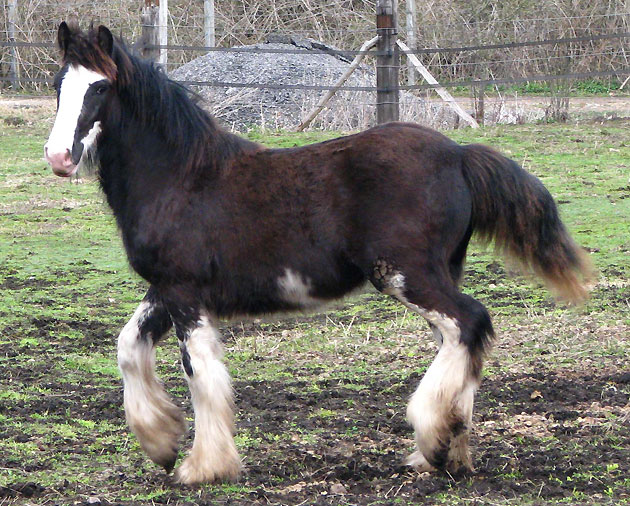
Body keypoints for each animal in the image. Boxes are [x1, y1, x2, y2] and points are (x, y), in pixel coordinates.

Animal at [47, 21, 596, 484]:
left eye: (99, 88)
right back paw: (446, 451)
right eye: (58, 85)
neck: (181, 177)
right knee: (458, 339)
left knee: (471, 322)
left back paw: (433, 438)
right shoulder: (165, 290)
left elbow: (200, 376)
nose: (58, 157)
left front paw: (202, 466)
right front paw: (161, 440)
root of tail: (459, 155)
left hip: (406, 274)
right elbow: (128, 346)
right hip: (436, 273)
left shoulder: (183, 291)